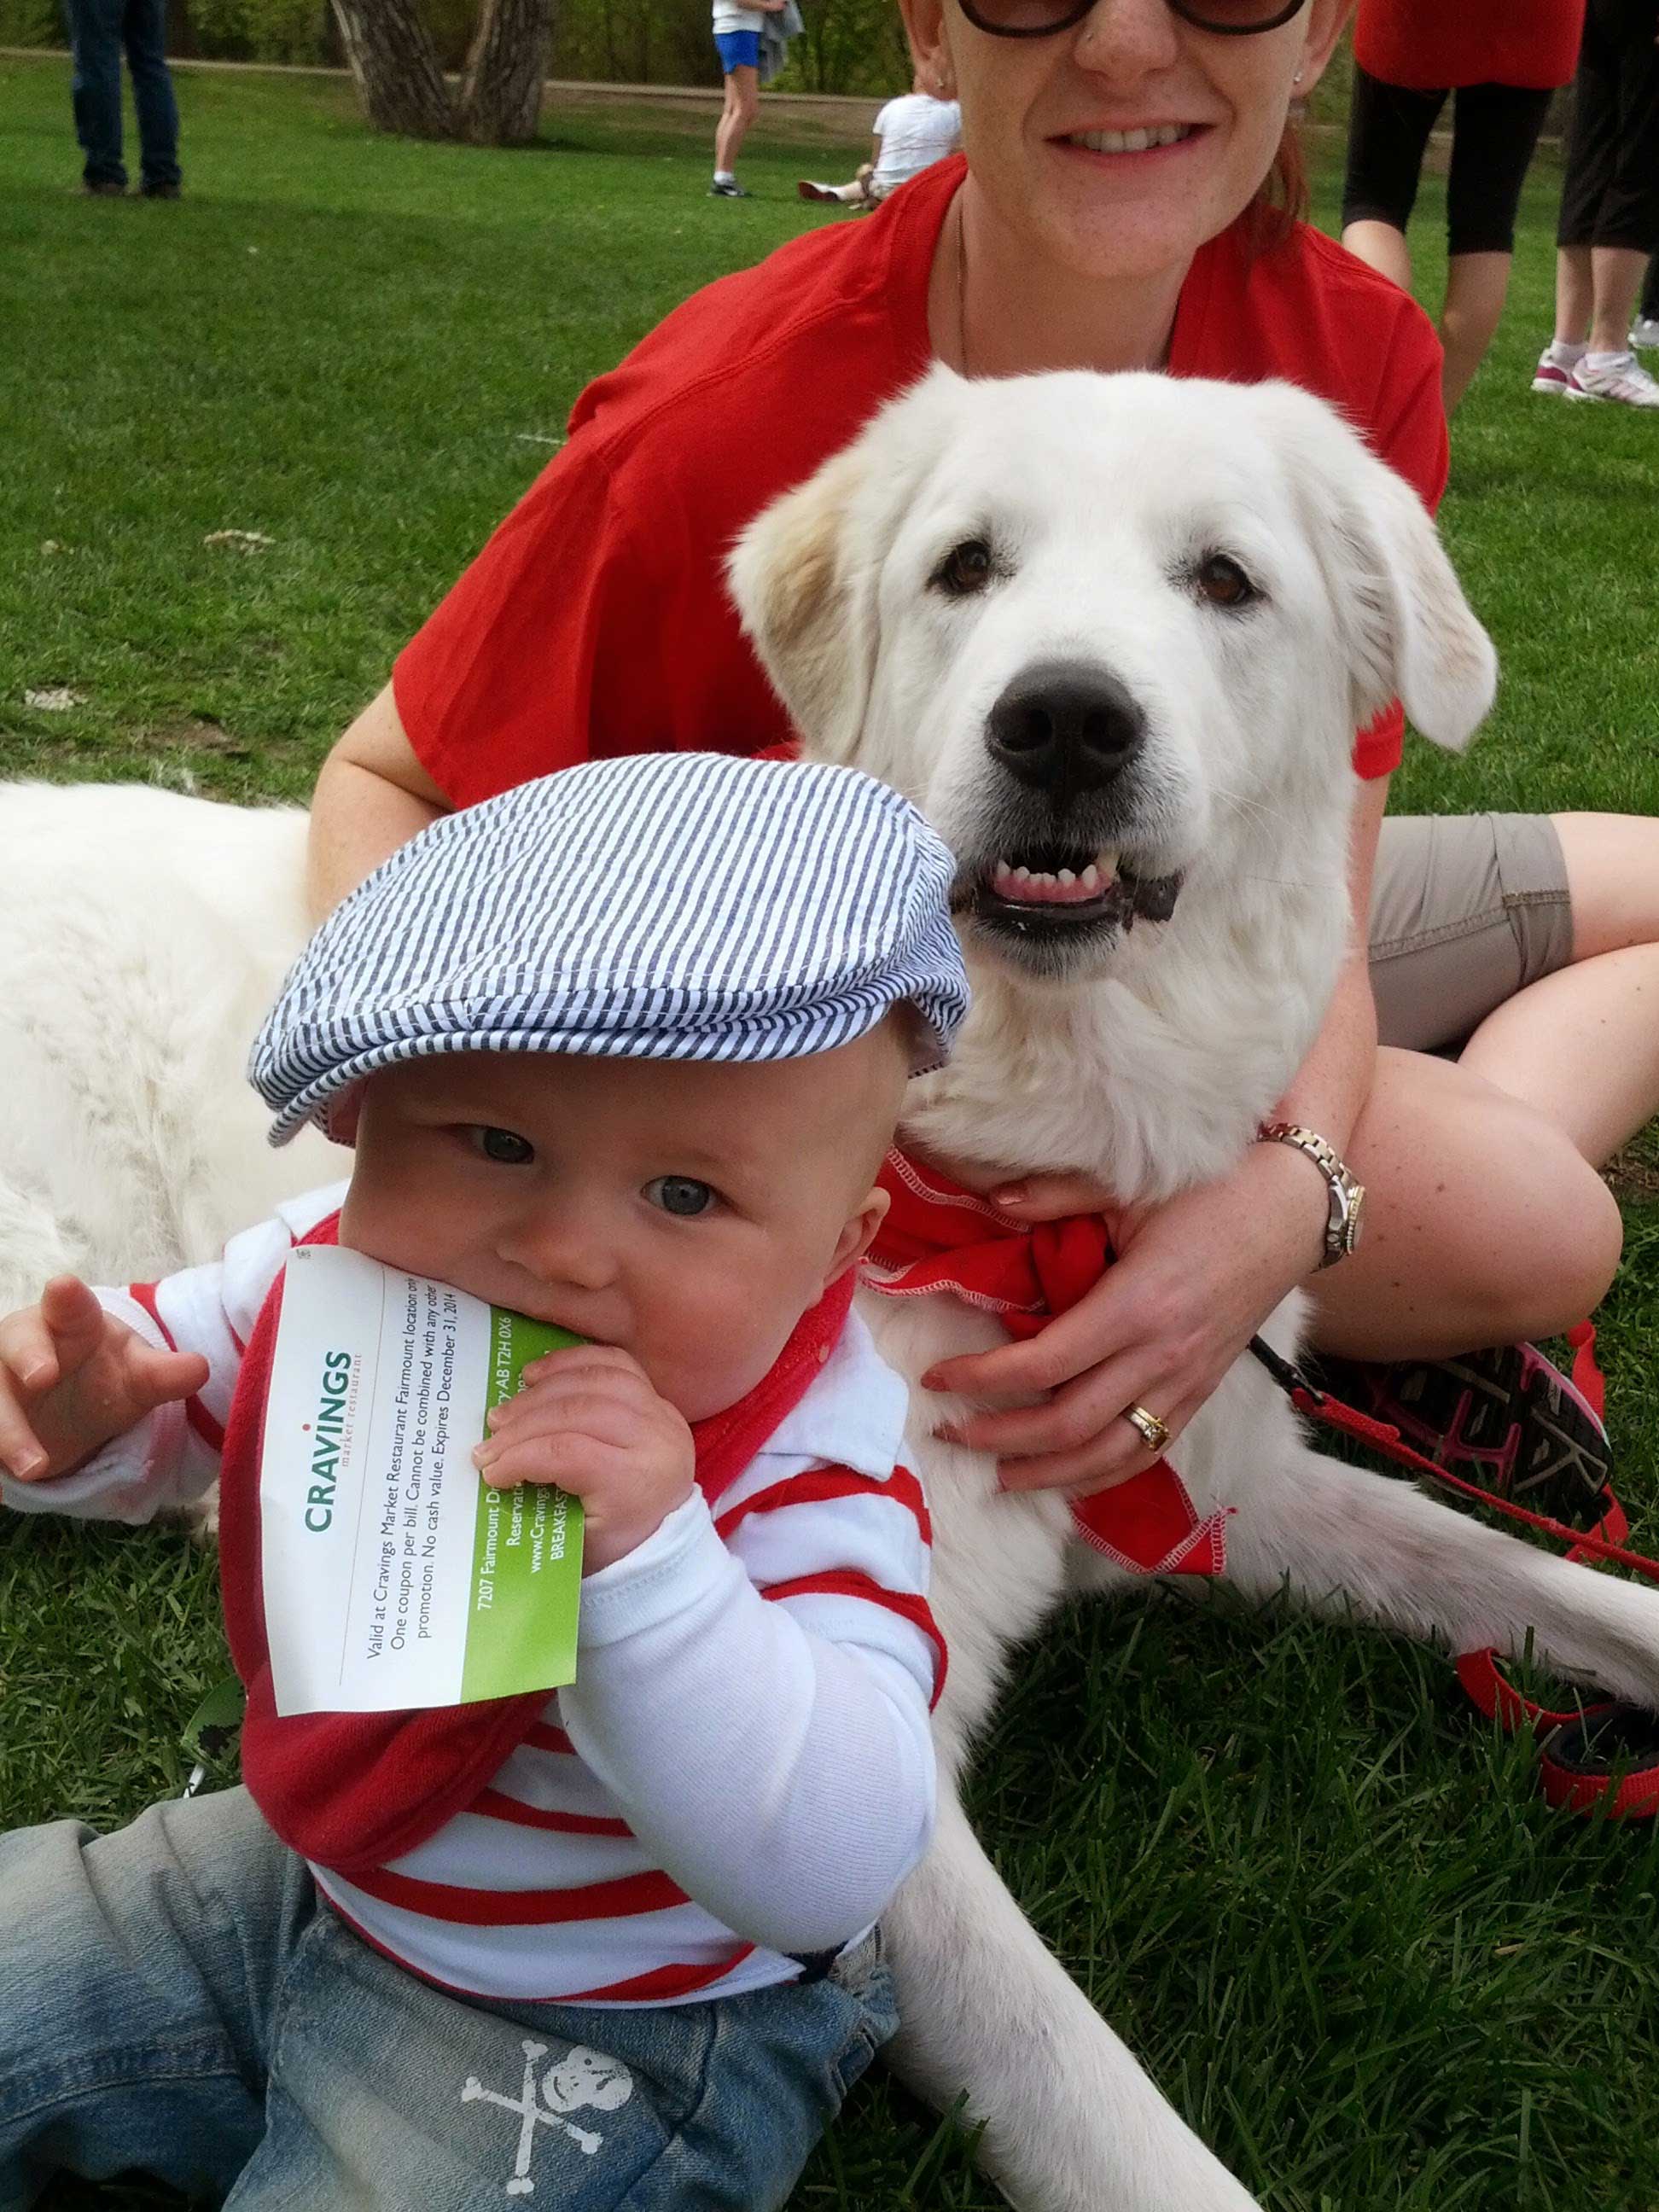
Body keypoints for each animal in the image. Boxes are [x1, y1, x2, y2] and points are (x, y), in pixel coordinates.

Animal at [6, 367, 1654, 2212]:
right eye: (967, 568)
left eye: (1224, 580)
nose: (1062, 722)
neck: (998, 1182)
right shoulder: (881, 1775)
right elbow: (1117, 2125)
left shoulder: (1226, 1483)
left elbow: (1540, 1586)